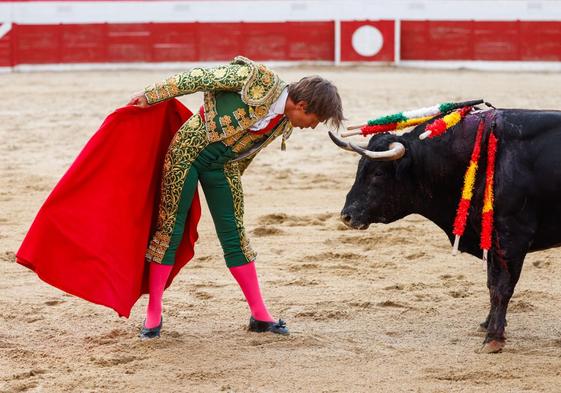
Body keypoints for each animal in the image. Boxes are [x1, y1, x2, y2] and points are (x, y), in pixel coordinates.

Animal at [330, 108, 560, 352]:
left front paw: (493, 338)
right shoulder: (490, 240)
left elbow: (501, 288)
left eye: (378, 173)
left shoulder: (512, 238)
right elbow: (491, 283)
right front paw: (487, 324)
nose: (347, 216)